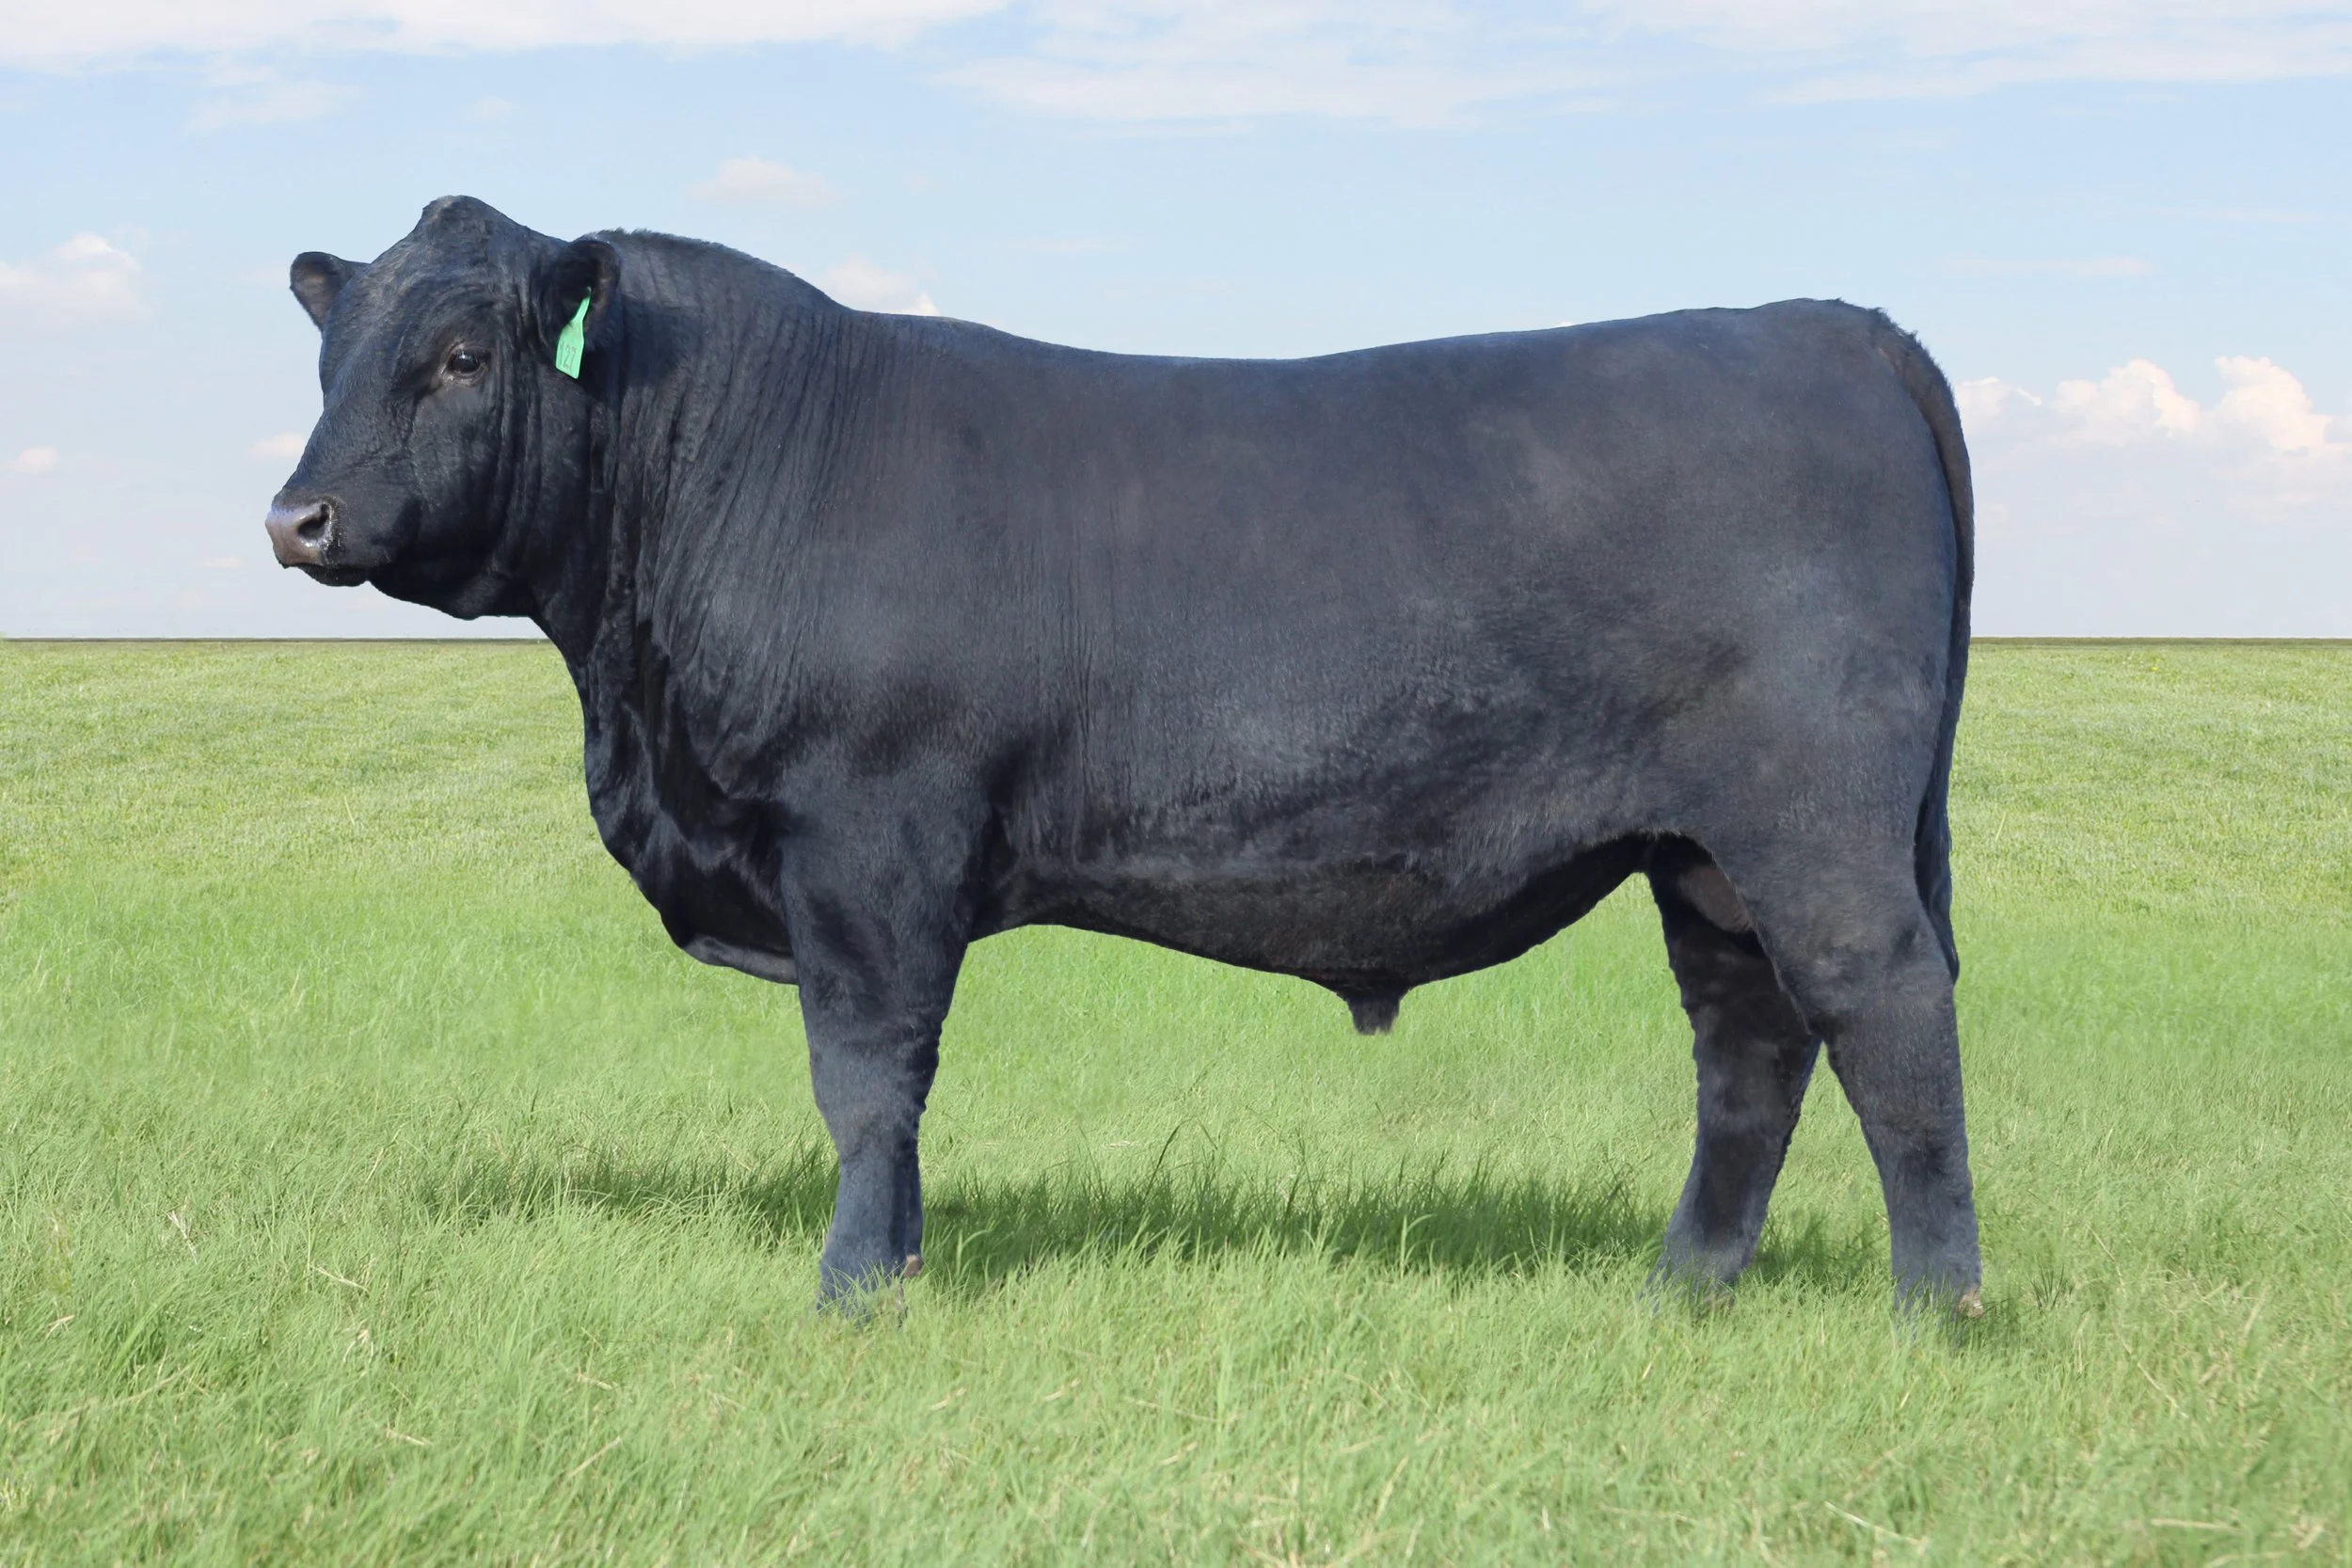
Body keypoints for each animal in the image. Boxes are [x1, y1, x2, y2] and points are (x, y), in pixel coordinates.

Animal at [266, 196, 1981, 1316]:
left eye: (464, 354)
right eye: (329, 352)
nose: (298, 518)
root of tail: (1837, 326)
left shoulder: (866, 838)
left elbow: (867, 1074)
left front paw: (854, 1290)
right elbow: (891, 1090)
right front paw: (900, 1265)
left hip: (1814, 824)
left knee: (1886, 1012)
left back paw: (1934, 1309)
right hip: (1702, 858)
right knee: (1749, 1048)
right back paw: (1682, 1288)